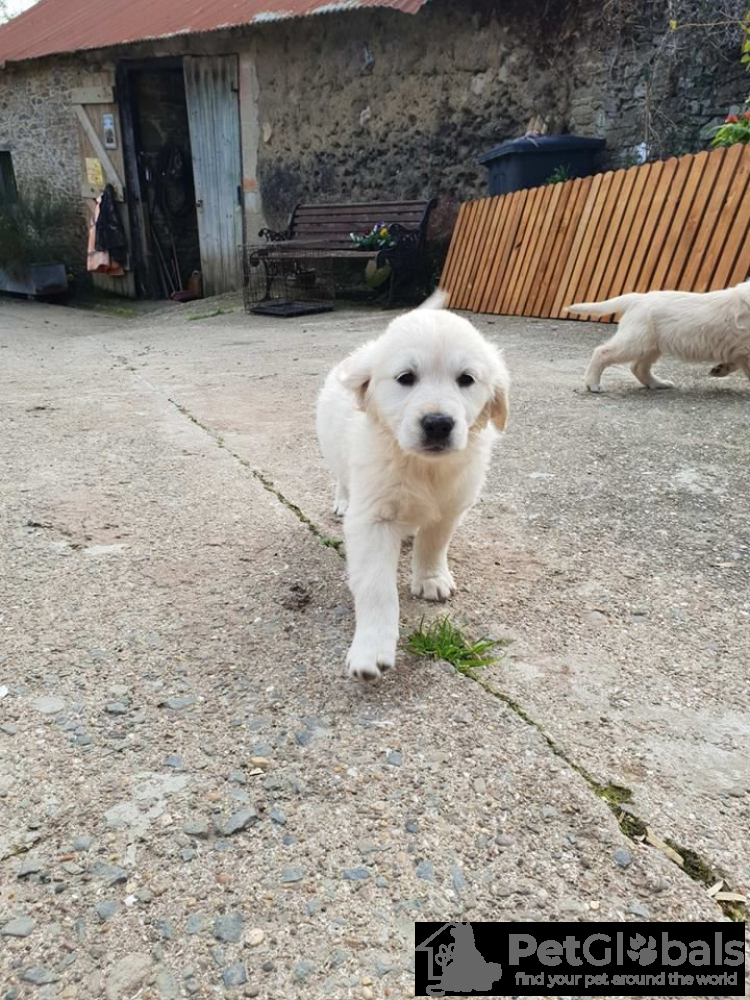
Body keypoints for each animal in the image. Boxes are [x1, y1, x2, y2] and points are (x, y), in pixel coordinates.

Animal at [316, 290, 510, 681]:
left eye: (466, 379)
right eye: (406, 378)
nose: (438, 424)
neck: (422, 467)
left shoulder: (451, 506)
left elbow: (434, 543)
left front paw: (431, 578)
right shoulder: (372, 518)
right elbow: (376, 586)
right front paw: (371, 649)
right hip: (334, 451)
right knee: (341, 478)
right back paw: (342, 500)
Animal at [565, 280, 750, 392]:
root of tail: (638, 298)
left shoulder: (740, 349)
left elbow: (736, 363)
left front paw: (721, 369)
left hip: (652, 345)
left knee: (638, 367)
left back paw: (658, 384)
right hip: (636, 341)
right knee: (603, 352)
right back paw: (592, 384)